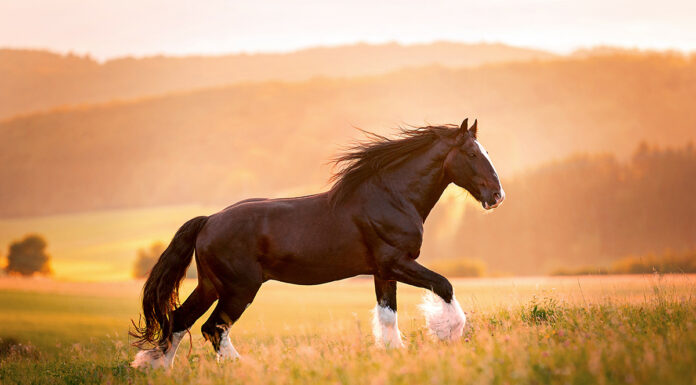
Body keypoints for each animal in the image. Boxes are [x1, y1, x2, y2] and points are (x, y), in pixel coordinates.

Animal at [130, 118, 502, 368]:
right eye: (472, 153)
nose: (497, 196)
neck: (392, 197)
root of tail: (208, 221)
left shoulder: (383, 271)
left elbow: (387, 316)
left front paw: (394, 355)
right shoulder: (397, 262)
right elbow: (444, 285)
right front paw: (448, 335)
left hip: (210, 284)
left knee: (179, 320)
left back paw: (159, 368)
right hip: (239, 289)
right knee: (213, 328)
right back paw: (243, 367)